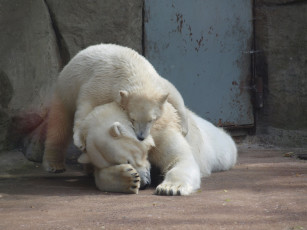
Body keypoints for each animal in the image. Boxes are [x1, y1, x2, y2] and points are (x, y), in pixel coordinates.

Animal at [42, 43, 188, 172]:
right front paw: (79, 140)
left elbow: (173, 92)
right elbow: (86, 104)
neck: (133, 69)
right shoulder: (103, 82)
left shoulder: (156, 81)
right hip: (65, 90)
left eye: (152, 119)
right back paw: (54, 165)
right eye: (132, 119)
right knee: (59, 124)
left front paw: (184, 128)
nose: (141, 137)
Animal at [78, 101, 237, 196]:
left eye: (128, 160)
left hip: (217, 147)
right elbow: (98, 175)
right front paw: (128, 179)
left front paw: (170, 188)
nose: (144, 185)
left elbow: (180, 159)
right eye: (115, 164)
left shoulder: (163, 132)